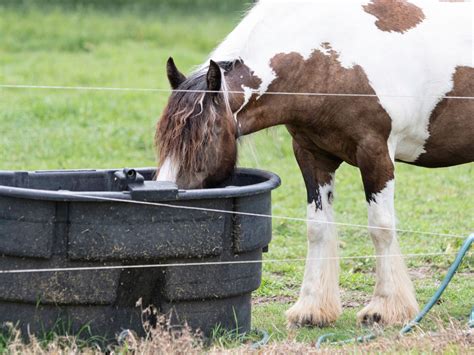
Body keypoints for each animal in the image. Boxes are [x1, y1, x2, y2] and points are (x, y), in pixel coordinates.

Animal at [154, 0, 472, 328]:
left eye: (203, 138)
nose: (166, 195)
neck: (328, 57)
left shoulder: (375, 153)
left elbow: (380, 227)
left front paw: (384, 308)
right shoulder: (311, 154)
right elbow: (317, 228)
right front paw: (312, 308)